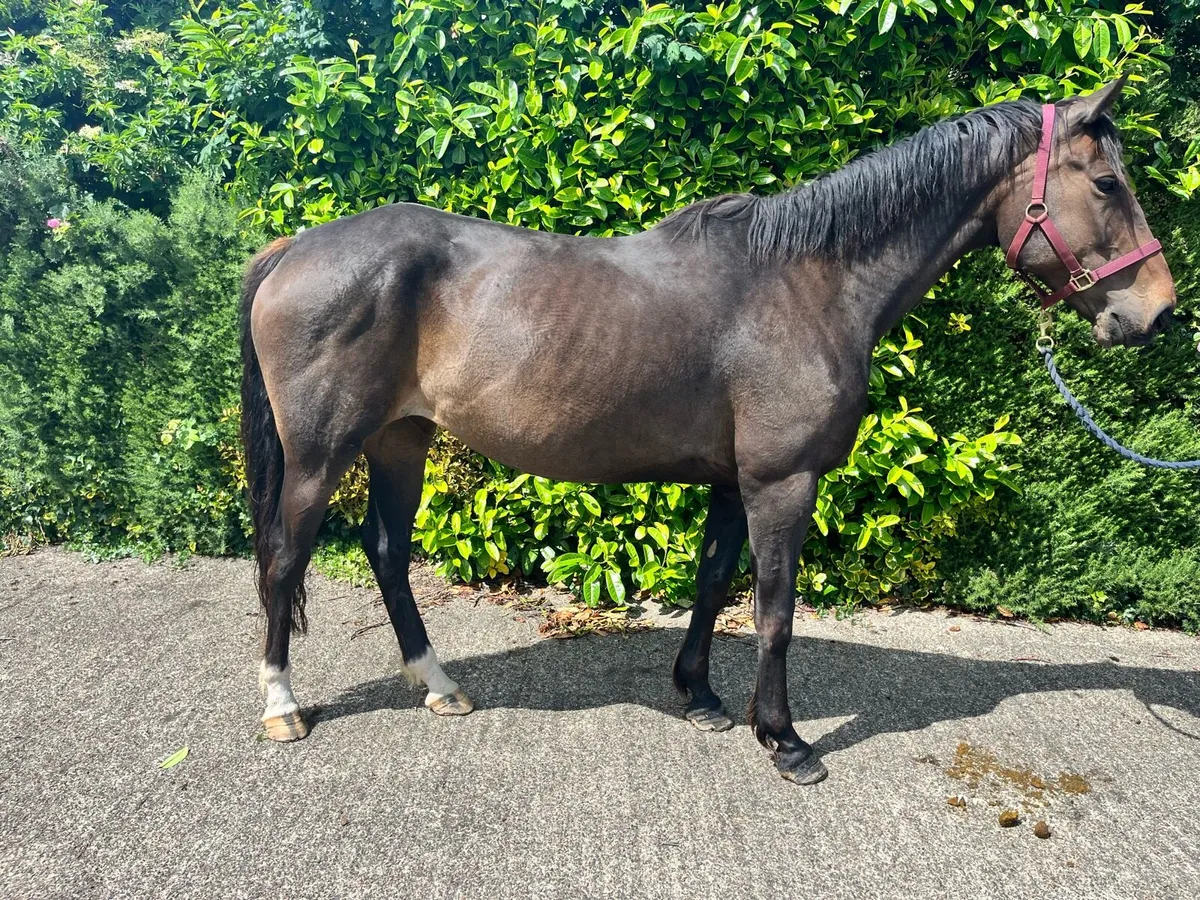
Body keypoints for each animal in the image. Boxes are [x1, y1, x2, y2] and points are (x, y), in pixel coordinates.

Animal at [240, 78, 1176, 784]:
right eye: (1107, 185)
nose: (1158, 312)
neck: (809, 283)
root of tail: (294, 248)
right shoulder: (781, 483)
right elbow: (774, 610)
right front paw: (787, 741)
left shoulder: (734, 481)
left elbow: (714, 582)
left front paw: (702, 698)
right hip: (322, 453)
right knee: (285, 555)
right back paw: (282, 705)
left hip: (401, 439)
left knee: (386, 550)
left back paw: (438, 684)